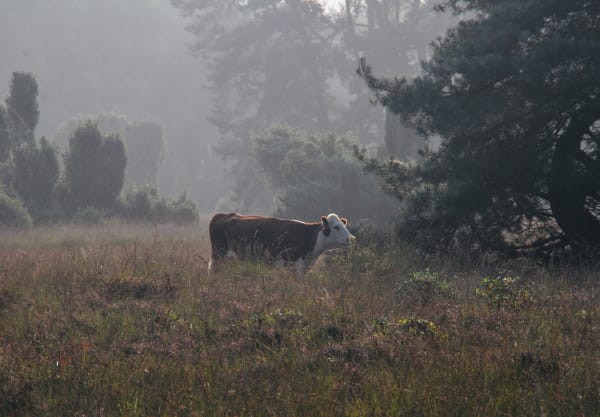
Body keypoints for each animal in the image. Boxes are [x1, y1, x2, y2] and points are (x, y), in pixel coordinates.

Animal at [207, 211, 354, 272]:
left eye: (344, 225)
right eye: (336, 227)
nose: (351, 239)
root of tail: (223, 215)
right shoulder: (291, 264)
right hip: (219, 256)